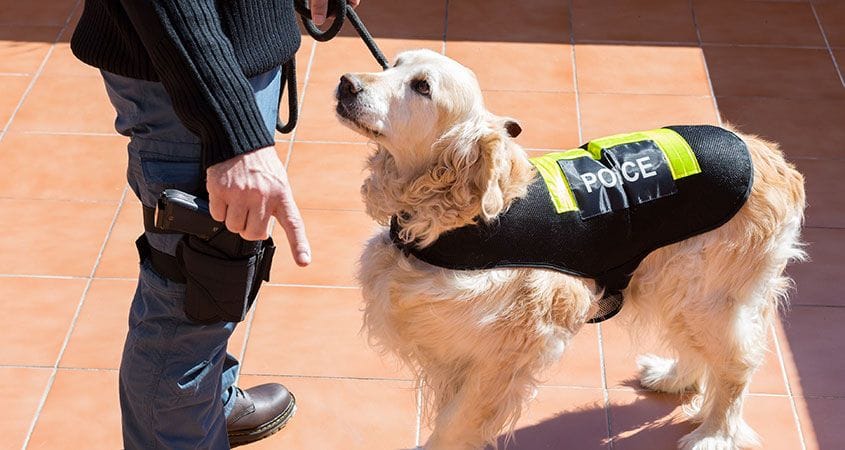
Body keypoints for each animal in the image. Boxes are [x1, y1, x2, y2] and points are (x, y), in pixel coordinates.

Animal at [332, 47, 808, 448]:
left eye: (422, 87)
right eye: (392, 64)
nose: (346, 83)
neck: (457, 212)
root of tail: (771, 159)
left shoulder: (507, 349)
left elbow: (456, 424)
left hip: (706, 291)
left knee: (735, 364)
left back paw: (715, 434)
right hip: (672, 283)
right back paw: (673, 376)